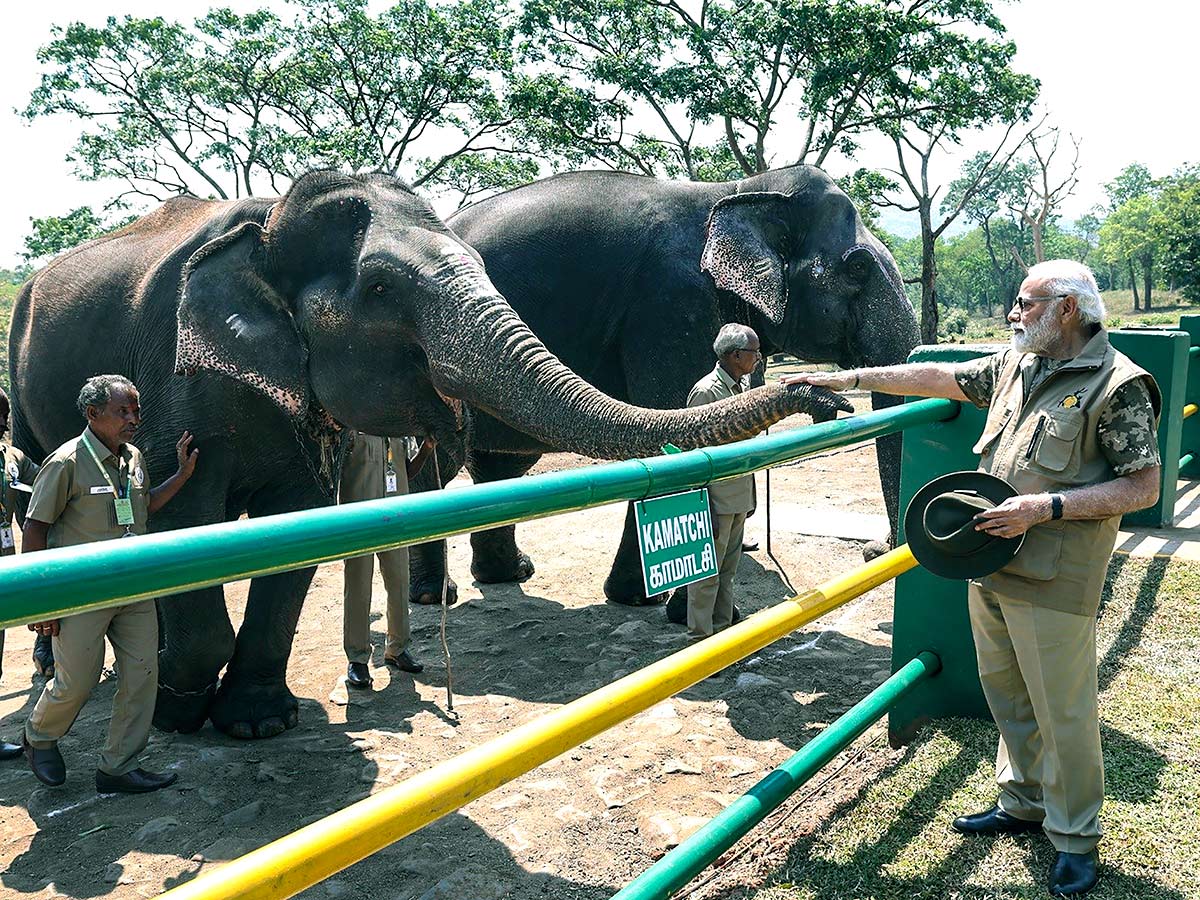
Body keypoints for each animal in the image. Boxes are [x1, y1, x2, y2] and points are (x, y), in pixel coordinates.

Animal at [11, 169, 854, 739]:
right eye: (382, 290)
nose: (826, 396)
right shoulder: (172, 380)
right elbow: (183, 514)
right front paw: (183, 710)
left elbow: (297, 529)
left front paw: (256, 722)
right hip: (23, 391)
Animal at [403, 166, 916, 609]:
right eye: (858, 268)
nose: (874, 550)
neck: (738, 188)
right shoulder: (670, 303)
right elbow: (670, 426)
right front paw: (648, 601)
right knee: (438, 463)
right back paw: (432, 596)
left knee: (502, 460)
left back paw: (508, 574)